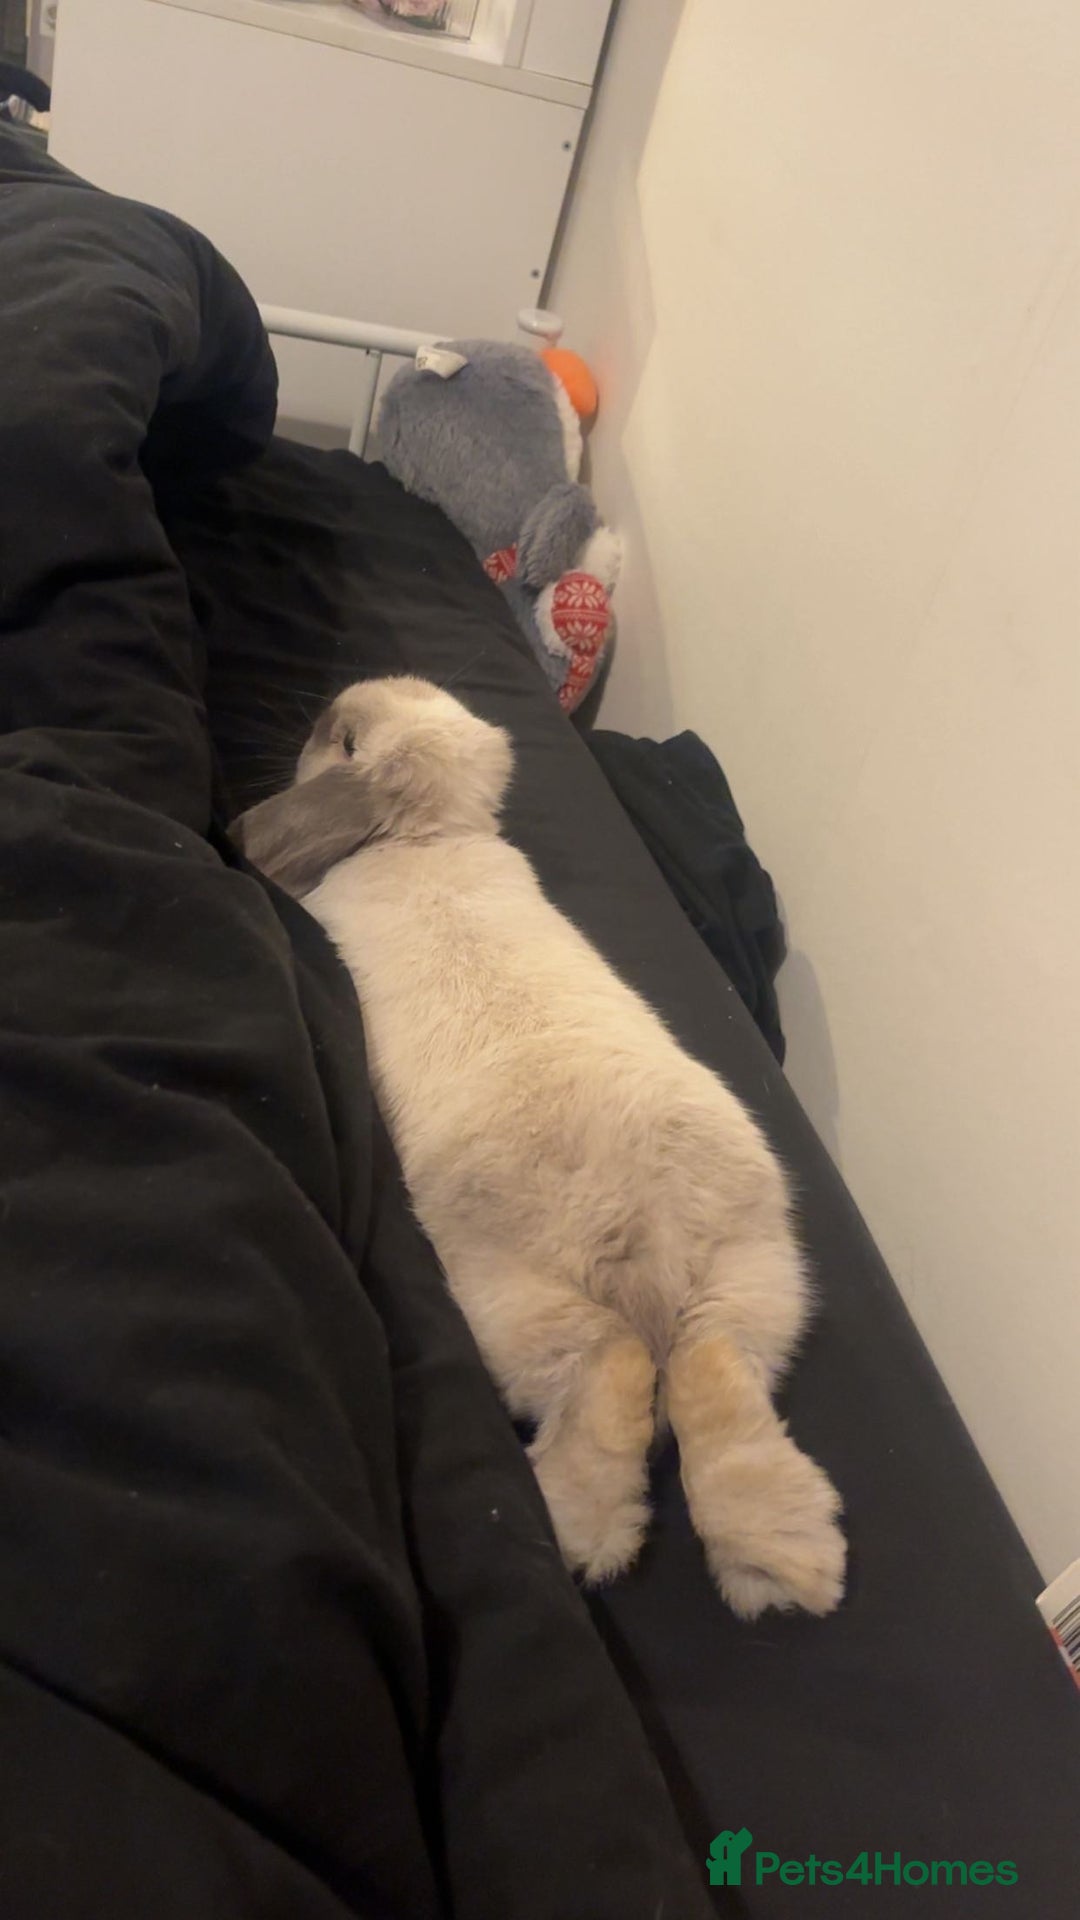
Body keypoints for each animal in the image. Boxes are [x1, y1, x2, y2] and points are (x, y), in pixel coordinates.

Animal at [234, 676, 845, 1618]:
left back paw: (579, 1540)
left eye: (343, 741)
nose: (326, 708)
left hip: (508, 1303)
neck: (426, 835)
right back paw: (784, 1564)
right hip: (753, 1276)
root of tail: (642, 1236)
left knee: (614, 1368)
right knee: (711, 1374)